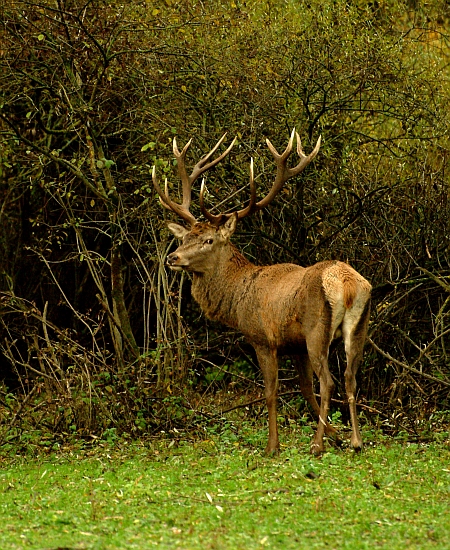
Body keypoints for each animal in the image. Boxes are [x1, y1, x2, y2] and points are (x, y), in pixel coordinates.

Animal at [153, 130, 370, 458]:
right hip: (358, 326)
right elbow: (304, 388)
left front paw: (273, 446)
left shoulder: (263, 338)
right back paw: (355, 441)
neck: (237, 298)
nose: (173, 257)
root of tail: (345, 284)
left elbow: (271, 391)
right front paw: (337, 436)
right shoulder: (294, 344)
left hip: (317, 328)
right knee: (350, 378)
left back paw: (317, 445)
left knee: (329, 381)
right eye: (186, 236)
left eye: (208, 240)